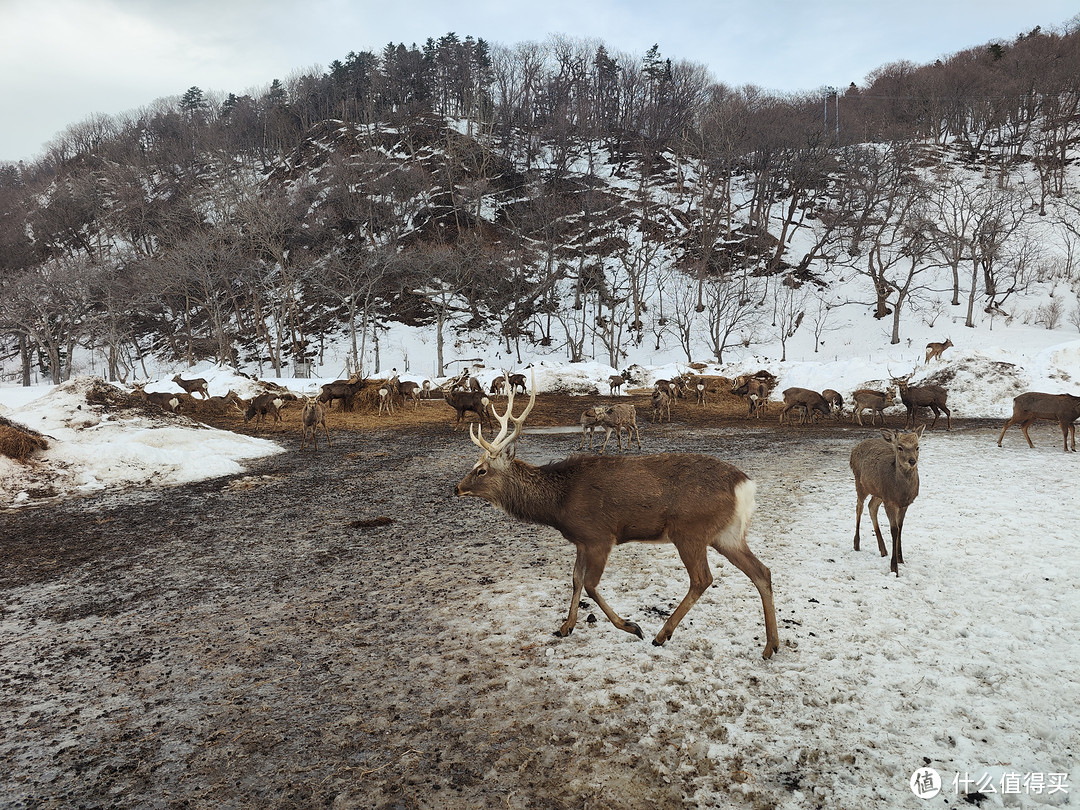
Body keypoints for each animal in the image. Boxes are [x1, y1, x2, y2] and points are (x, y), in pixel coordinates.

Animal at [846, 425, 924, 578]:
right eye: (900, 447)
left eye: (917, 447)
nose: (912, 461)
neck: (901, 492)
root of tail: (855, 448)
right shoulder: (890, 502)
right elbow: (894, 530)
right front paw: (894, 568)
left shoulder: (904, 504)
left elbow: (900, 528)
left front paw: (900, 559)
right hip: (860, 482)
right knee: (859, 507)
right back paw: (856, 544)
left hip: (878, 493)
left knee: (871, 506)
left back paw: (883, 549)